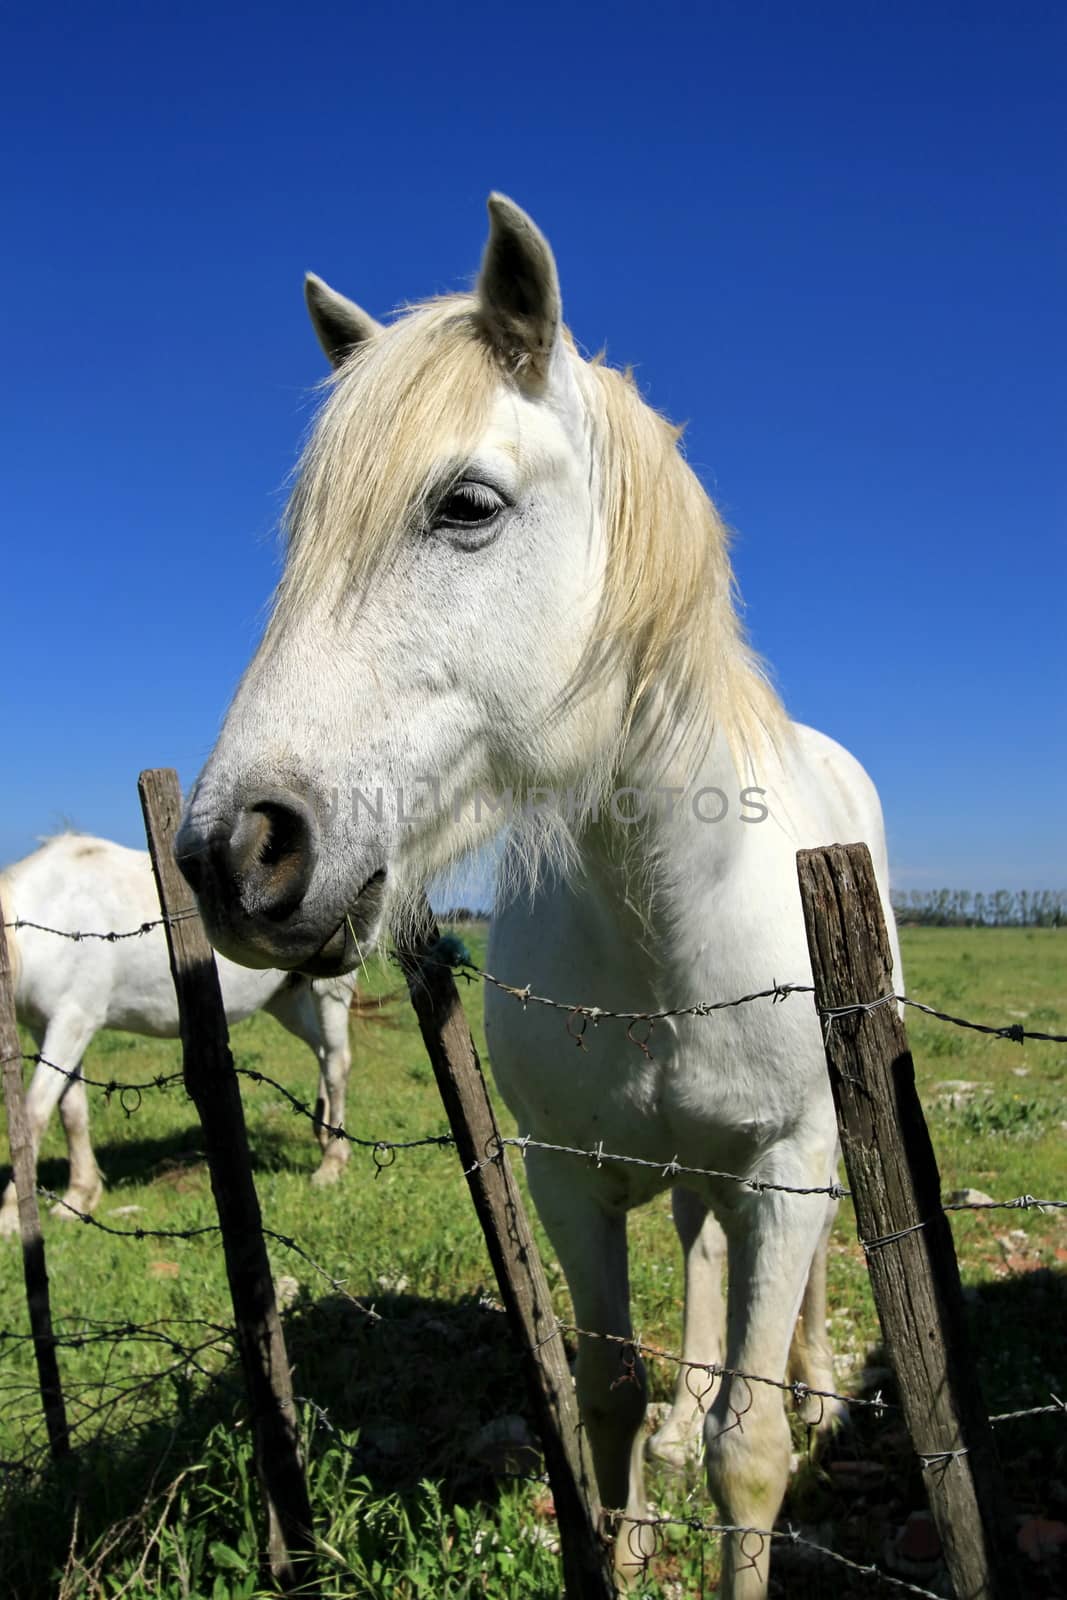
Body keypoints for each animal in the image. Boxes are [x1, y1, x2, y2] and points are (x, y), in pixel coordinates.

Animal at [0, 832, 363, 1228]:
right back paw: (325, 1134)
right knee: (322, 1051)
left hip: (330, 989)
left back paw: (332, 1163)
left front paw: (11, 1215)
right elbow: (72, 1112)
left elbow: (34, 1114)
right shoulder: (49, 1027)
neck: (46, 916)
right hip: (287, 998)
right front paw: (78, 1196)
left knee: (338, 1063)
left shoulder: (72, 1022)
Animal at [173, 200, 902, 1600]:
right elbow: (604, 1391)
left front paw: (750, 1444)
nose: (236, 853)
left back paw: (817, 1379)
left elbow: (751, 1454)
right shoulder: (564, 1176)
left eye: (465, 505)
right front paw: (623, 1527)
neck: (662, 927)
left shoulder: (784, 1169)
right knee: (695, 1264)